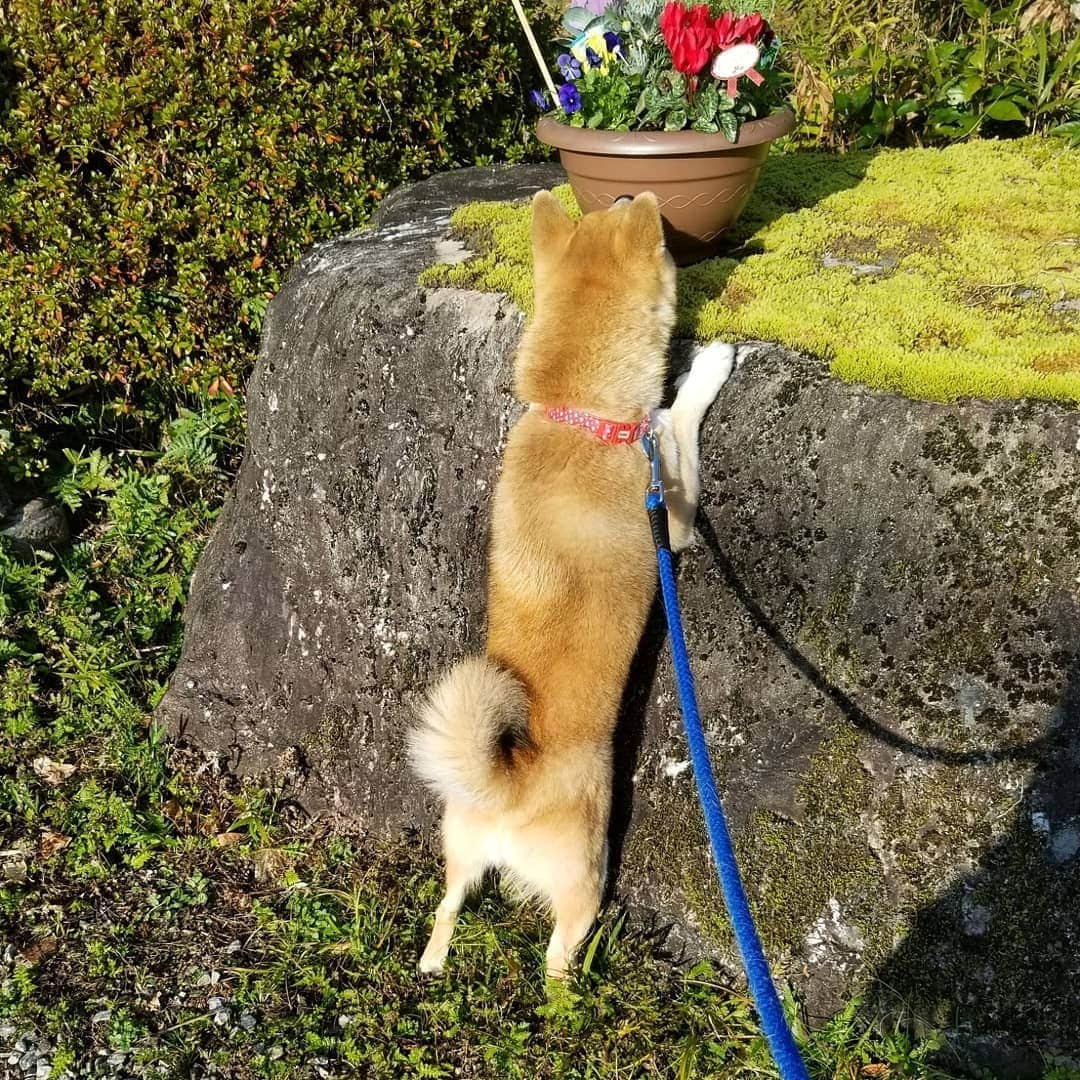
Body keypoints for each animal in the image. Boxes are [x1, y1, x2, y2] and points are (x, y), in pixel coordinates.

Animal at [406, 187, 734, 980]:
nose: (622, 189)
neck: (580, 415)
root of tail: (508, 787)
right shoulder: (671, 508)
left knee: (445, 911)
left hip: (458, 853)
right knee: (555, 961)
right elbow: (678, 418)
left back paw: (433, 966)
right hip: (585, 874)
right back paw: (576, 988)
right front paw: (707, 367)